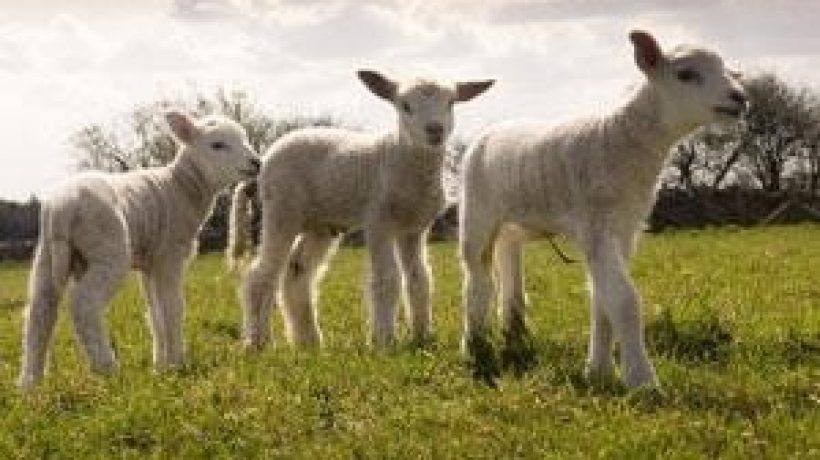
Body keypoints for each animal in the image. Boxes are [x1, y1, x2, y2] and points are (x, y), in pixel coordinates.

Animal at [18, 112, 260, 388]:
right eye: (217, 145)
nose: (257, 162)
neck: (182, 187)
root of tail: (62, 209)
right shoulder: (169, 256)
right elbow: (172, 308)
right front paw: (177, 363)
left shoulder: (149, 263)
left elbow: (155, 314)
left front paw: (160, 366)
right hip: (109, 251)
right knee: (83, 304)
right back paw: (107, 368)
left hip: (46, 254)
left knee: (39, 312)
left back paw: (30, 383)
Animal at [229, 70, 494, 348]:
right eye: (405, 106)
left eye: (451, 103)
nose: (435, 130)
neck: (400, 156)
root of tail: (263, 164)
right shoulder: (378, 219)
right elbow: (387, 278)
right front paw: (383, 340)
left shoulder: (415, 228)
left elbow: (419, 278)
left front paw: (422, 336)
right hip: (282, 208)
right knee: (262, 274)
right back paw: (258, 342)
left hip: (319, 224)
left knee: (297, 272)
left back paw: (309, 342)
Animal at [459, 30, 747, 388]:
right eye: (685, 74)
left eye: (727, 70)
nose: (740, 98)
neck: (619, 141)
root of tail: (491, 130)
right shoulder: (596, 225)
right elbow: (624, 301)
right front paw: (641, 379)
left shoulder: (625, 229)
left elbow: (602, 301)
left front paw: (598, 371)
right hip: (476, 213)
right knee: (476, 276)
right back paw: (474, 343)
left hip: (517, 221)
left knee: (508, 257)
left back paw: (515, 330)